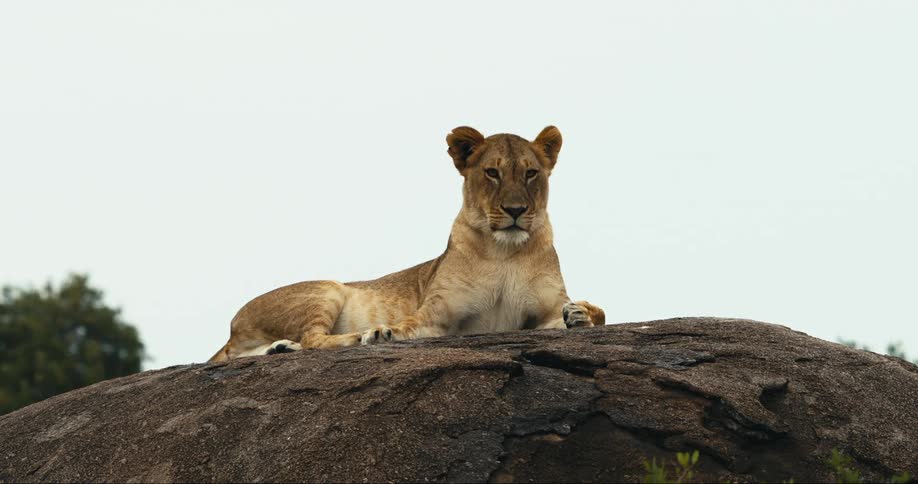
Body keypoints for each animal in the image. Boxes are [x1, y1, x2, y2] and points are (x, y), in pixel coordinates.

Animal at [208, 126, 605, 362]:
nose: (516, 210)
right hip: (328, 289)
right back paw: (351, 337)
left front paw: (583, 314)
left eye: (531, 173)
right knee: (313, 339)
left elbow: (593, 317)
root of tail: (233, 325)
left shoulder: (543, 313)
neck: (505, 251)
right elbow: (407, 326)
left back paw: (279, 348)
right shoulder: (439, 317)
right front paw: (380, 333)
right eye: (492, 172)